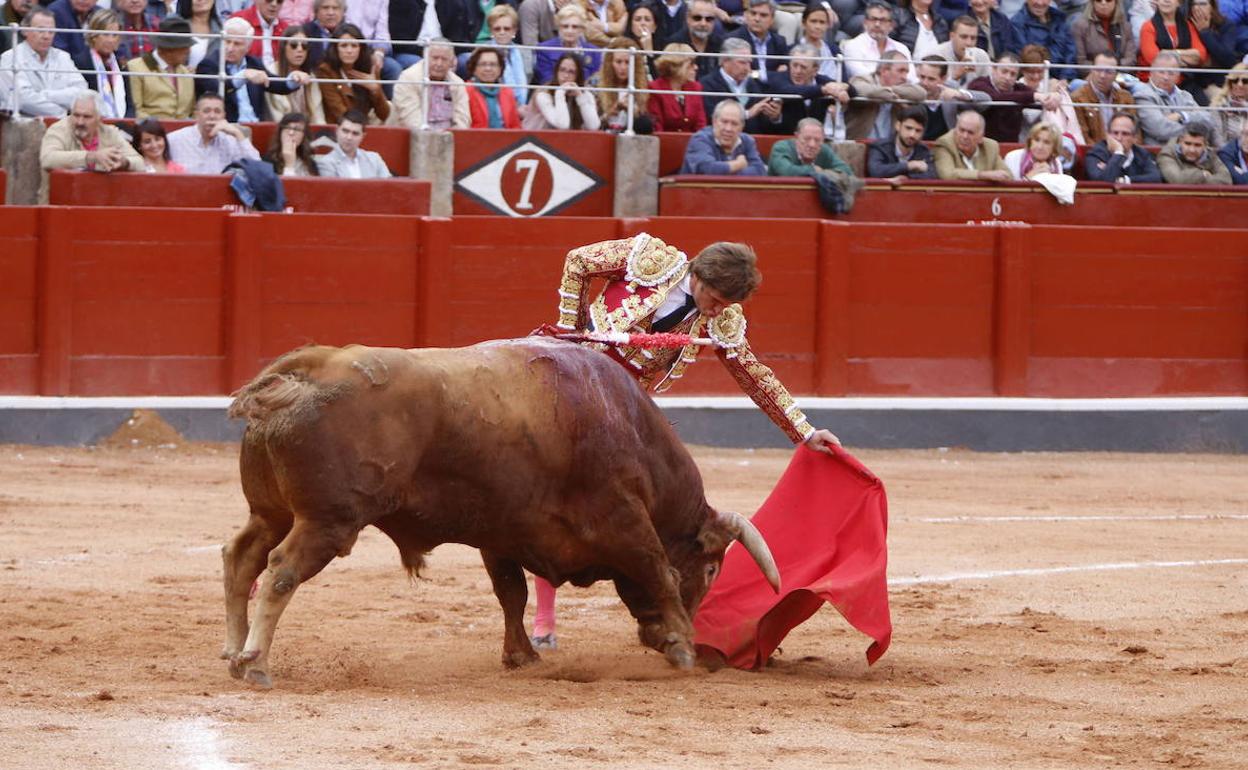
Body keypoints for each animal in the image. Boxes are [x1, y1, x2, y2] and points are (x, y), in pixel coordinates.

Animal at [219, 336, 773, 683]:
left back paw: (233, 649)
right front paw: (683, 645)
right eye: (711, 568)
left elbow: (512, 593)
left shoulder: (501, 535)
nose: (656, 637)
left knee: (241, 557)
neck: (629, 428)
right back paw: (256, 663)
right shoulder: (623, 518)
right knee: (281, 570)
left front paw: (521, 656)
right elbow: (659, 571)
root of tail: (306, 368)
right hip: (327, 522)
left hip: (272, 512)